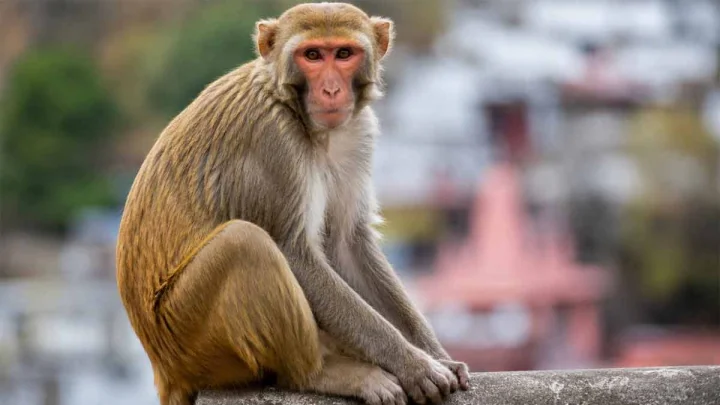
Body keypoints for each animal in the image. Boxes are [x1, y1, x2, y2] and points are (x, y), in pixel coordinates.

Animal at [116, 3, 470, 405]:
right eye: (312, 55)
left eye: (343, 54)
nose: (330, 89)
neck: (291, 107)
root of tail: (164, 368)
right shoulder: (273, 142)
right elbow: (294, 251)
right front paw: (415, 365)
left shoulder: (358, 133)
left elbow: (347, 244)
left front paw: (437, 355)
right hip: (188, 336)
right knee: (244, 243)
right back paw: (321, 374)